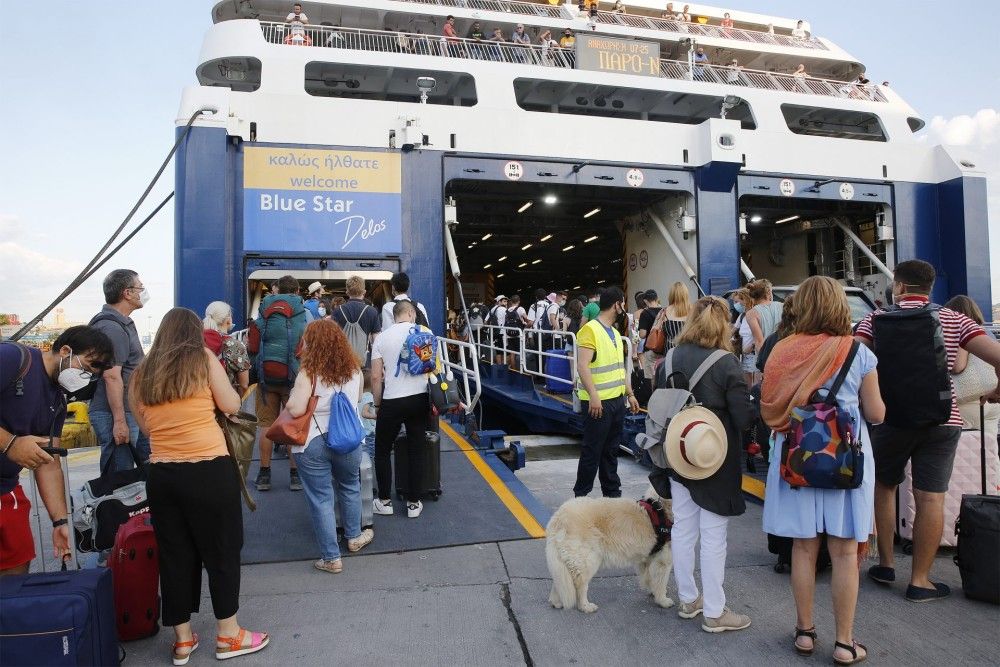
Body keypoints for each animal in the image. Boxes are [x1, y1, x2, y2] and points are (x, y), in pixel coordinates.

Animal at [544, 490, 676, 616]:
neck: (663, 508)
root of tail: (559, 516)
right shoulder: (663, 561)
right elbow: (661, 582)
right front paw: (663, 600)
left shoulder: (647, 558)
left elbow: (649, 578)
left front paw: (652, 591)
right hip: (588, 561)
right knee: (580, 585)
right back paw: (586, 606)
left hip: (565, 562)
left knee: (561, 581)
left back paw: (556, 602)